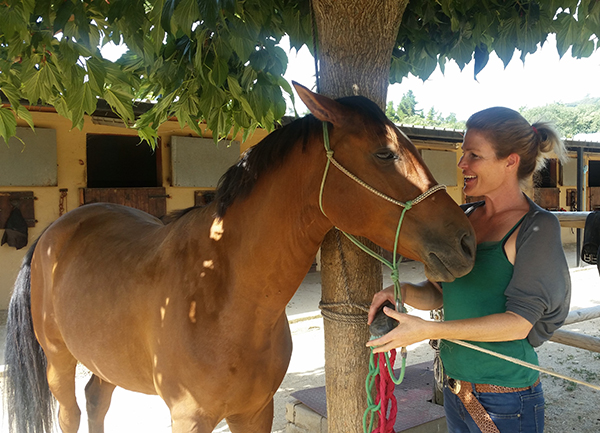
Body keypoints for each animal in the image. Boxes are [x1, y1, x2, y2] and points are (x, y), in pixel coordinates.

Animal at [3, 82, 474, 432]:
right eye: (384, 153)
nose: (466, 241)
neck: (224, 297)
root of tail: (52, 233)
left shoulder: (256, 411)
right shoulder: (189, 419)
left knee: (97, 400)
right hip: (59, 362)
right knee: (70, 413)